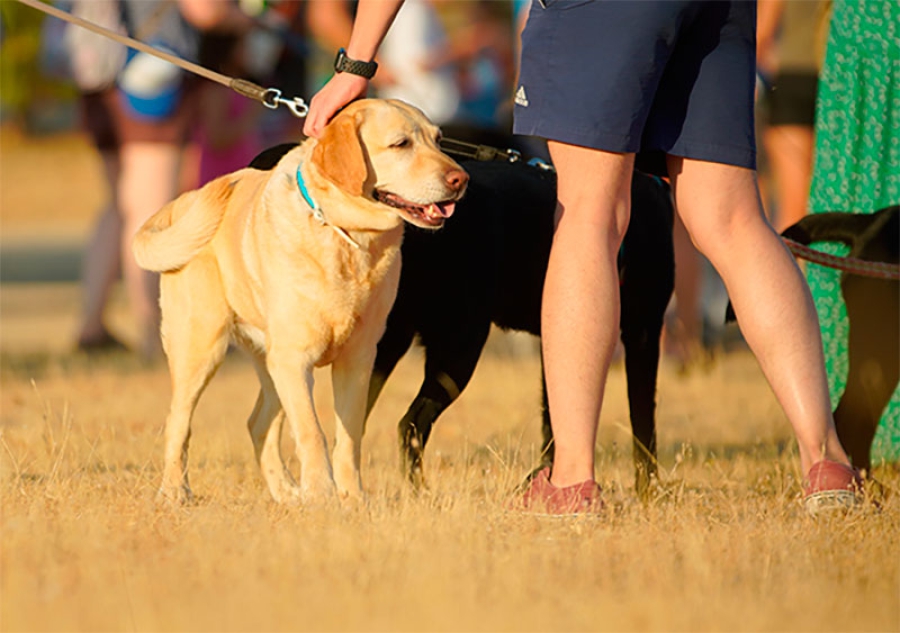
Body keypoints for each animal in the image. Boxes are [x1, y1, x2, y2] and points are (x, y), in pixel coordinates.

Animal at [135, 99, 472, 504]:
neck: (349, 237)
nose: (461, 179)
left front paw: (352, 498)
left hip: (269, 364)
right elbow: (313, 432)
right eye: (400, 144)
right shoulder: (295, 360)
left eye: (438, 140)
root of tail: (184, 201)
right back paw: (176, 490)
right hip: (202, 348)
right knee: (178, 422)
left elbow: (349, 437)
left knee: (258, 423)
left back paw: (285, 492)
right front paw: (322, 495)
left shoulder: (358, 360)